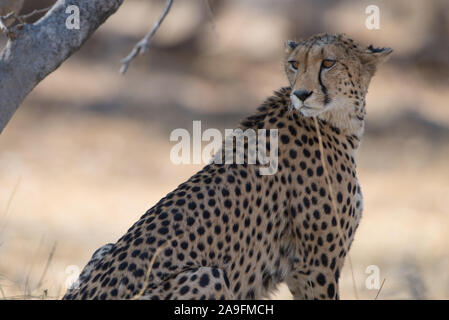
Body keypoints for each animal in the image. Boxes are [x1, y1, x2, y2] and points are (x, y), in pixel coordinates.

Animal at [64, 33, 392, 298]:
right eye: (294, 64)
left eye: (328, 63)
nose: (300, 94)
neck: (335, 121)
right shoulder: (314, 265)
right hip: (208, 275)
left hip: (103, 248)